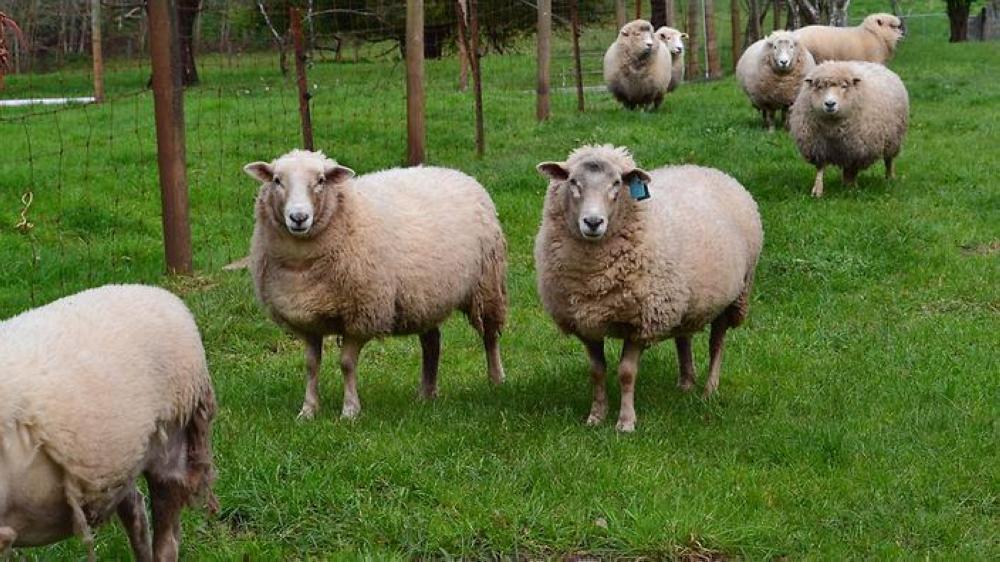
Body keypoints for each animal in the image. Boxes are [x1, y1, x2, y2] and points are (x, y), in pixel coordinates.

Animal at [243, 149, 507, 420]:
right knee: (432, 341)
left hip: (486, 284)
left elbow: (346, 364)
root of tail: (455, 172)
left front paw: (350, 411)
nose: (298, 218)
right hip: (425, 297)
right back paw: (427, 393)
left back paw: (496, 379)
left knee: (489, 334)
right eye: (276, 180)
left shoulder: (362, 314)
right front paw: (308, 410)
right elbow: (311, 365)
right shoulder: (307, 320)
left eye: (321, 180)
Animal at [534, 145, 763, 432]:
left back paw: (709, 390)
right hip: (681, 300)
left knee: (716, 343)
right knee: (683, 337)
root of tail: (708, 169)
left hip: (734, 296)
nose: (593, 222)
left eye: (617, 183)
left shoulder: (641, 321)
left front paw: (625, 422)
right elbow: (596, 371)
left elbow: (626, 372)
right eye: (573, 181)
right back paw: (686, 383)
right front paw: (596, 417)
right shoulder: (585, 322)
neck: (594, 278)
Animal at [788, 61, 909, 197]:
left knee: (889, 160)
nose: (830, 104)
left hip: (893, 138)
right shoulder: (817, 146)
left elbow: (853, 168)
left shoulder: (857, 147)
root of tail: (878, 65)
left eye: (844, 86)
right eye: (819, 86)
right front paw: (817, 190)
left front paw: (852, 188)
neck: (832, 127)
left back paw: (889, 177)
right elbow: (820, 168)